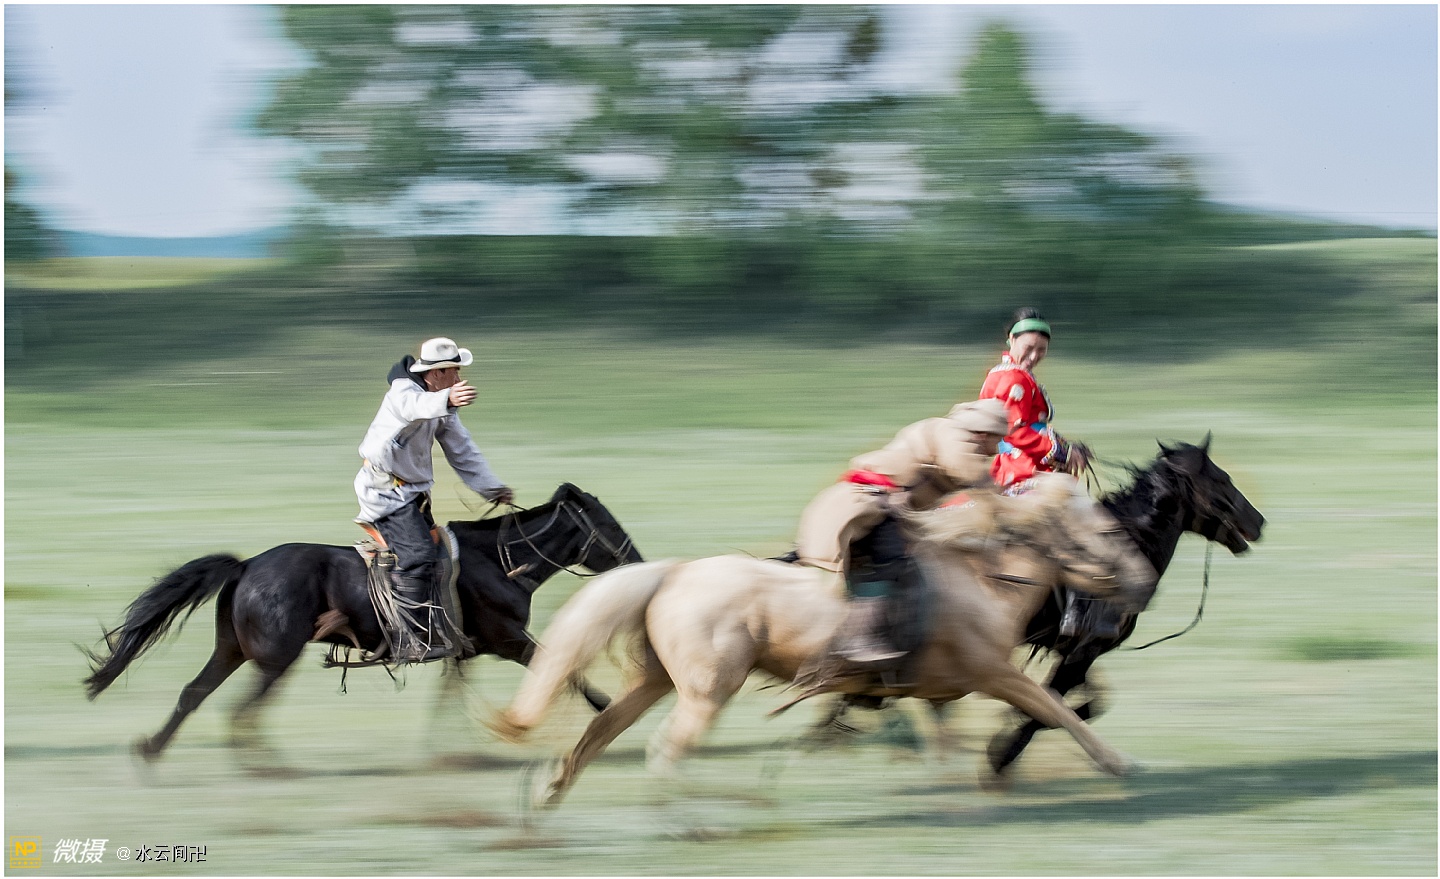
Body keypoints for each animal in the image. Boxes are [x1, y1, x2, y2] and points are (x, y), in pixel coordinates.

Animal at [83, 482, 643, 762]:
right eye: (609, 523)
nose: (637, 561)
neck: (497, 560)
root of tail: (246, 566)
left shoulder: (464, 650)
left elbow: (449, 698)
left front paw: (445, 750)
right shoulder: (508, 639)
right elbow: (564, 670)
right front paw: (611, 716)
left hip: (232, 649)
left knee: (194, 694)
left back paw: (151, 751)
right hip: (275, 658)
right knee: (242, 712)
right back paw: (266, 767)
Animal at [491, 493, 1158, 809]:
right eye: (1105, 530)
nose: (1142, 581)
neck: (982, 576)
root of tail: (674, 574)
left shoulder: (930, 692)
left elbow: (947, 740)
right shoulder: (998, 675)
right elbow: (1059, 712)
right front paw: (1120, 764)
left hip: (654, 683)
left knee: (600, 730)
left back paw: (550, 793)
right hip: (707, 692)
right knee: (665, 752)